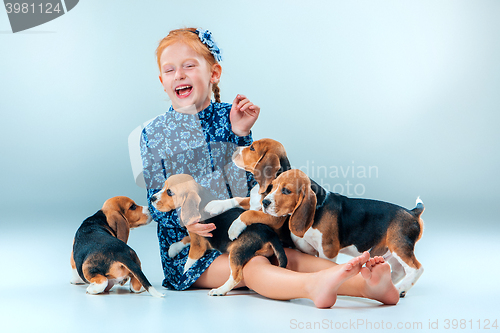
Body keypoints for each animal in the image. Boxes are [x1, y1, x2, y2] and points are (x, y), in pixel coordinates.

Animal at [150, 172, 288, 294]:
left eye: (169, 192)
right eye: (163, 186)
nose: (151, 198)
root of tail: (270, 233)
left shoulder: (198, 246)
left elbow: (189, 262)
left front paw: (184, 274)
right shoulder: (197, 235)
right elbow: (186, 238)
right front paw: (173, 248)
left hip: (237, 251)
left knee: (237, 276)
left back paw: (219, 290)